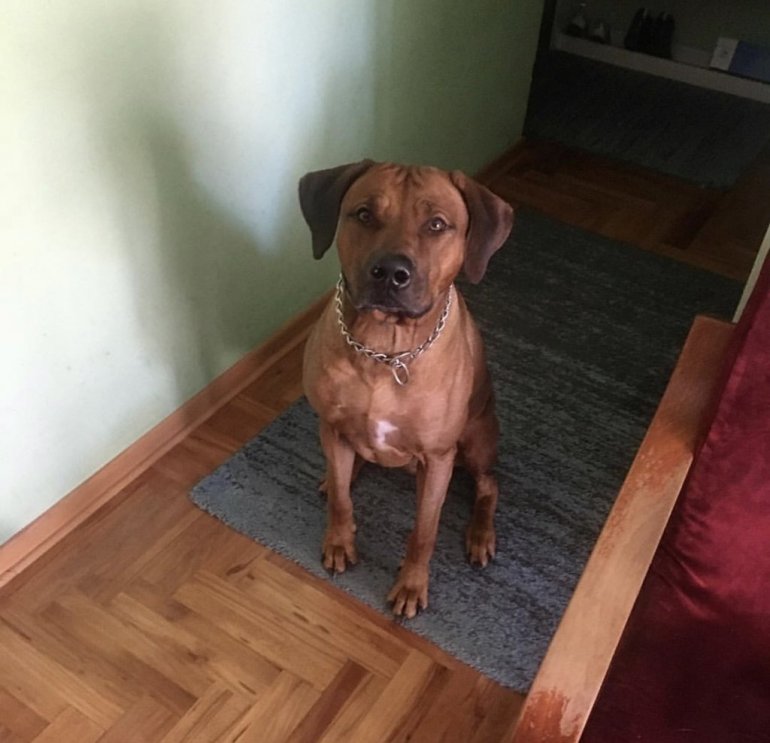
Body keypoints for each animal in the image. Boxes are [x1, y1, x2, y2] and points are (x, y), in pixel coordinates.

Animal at [298, 160, 513, 618]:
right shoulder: (331, 425)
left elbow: (424, 532)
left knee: (489, 485)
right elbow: (341, 500)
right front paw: (339, 541)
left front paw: (411, 585)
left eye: (437, 224)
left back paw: (480, 535)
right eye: (364, 214)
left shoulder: (437, 459)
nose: (390, 273)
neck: (385, 349)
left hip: (477, 437)